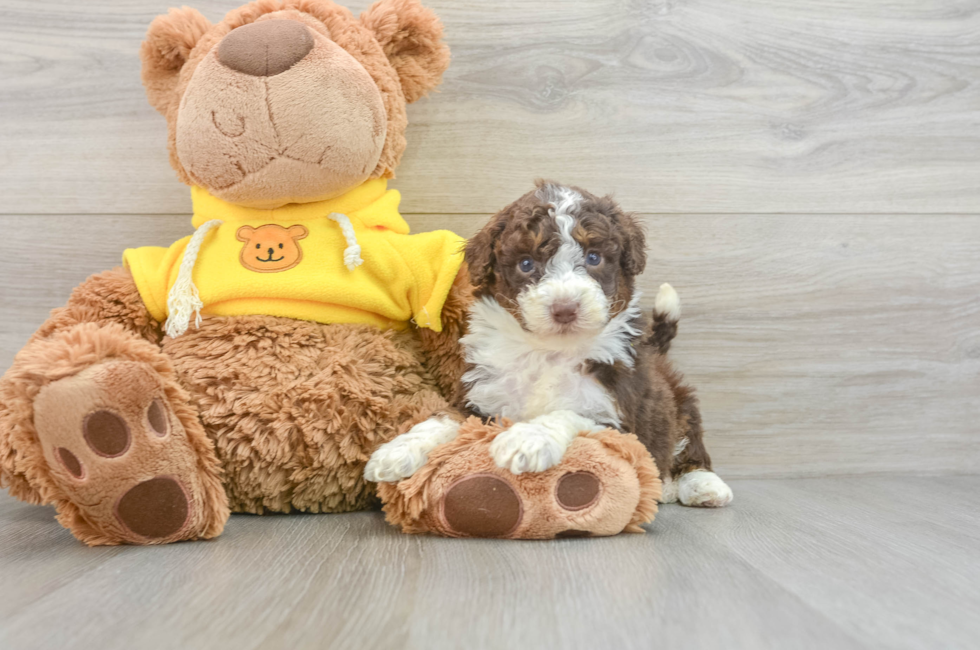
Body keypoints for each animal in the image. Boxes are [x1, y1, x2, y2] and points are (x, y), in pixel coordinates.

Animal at [364, 181, 732, 506]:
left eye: (594, 257)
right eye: (527, 264)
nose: (565, 308)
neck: (548, 350)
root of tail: (658, 354)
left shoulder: (616, 415)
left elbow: (568, 412)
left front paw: (526, 439)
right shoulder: (479, 396)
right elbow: (446, 417)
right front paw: (398, 450)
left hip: (680, 405)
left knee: (690, 445)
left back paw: (702, 485)